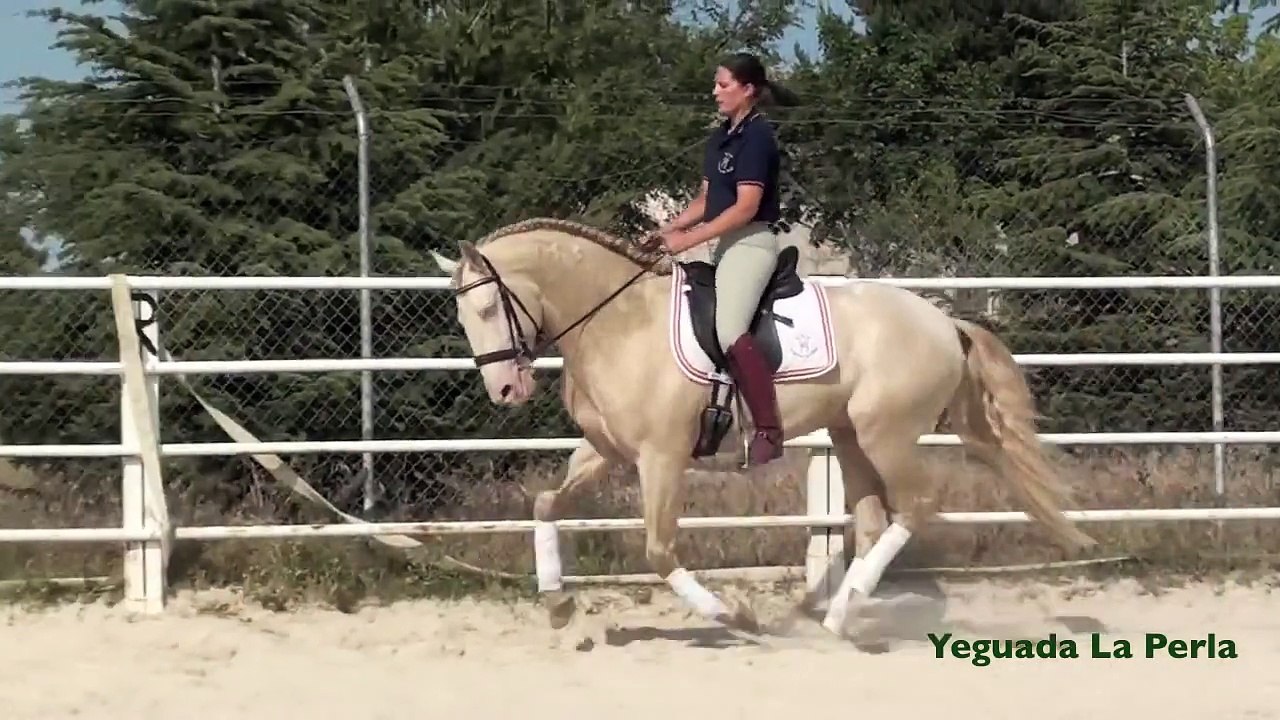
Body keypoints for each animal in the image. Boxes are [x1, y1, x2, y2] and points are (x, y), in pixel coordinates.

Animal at [428, 217, 1096, 639]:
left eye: (487, 307)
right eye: (462, 315)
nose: (506, 391)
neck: (617, 322)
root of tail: (943, 321)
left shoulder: (661, 458)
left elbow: (659, 549)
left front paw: (735, 617)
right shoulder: (604, 451)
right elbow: (545, 505)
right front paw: (558, 603)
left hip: (886, 433)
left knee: (916, 505)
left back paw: (844, 610)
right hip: (850, 436)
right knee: (874, 517)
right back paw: (839, 615)